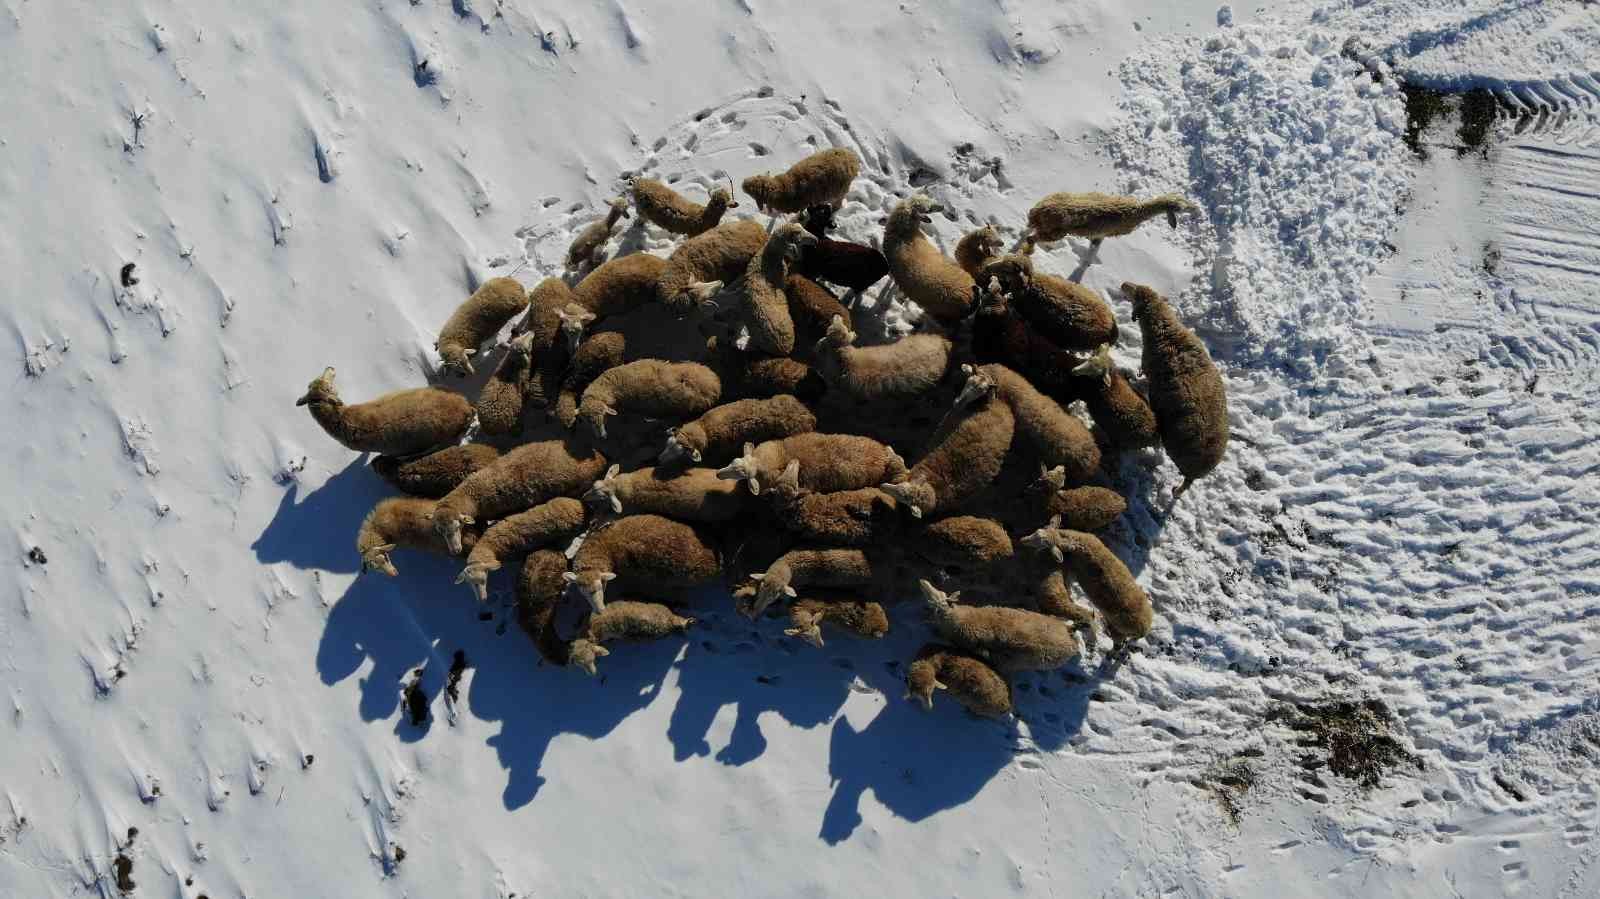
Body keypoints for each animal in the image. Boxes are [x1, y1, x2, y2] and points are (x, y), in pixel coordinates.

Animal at [1126, 279, 1222, 492]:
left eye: (1136, 295)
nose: (1124, 284)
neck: (1166, 330)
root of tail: (1203, 465)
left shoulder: (1147, 364)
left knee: (1184, 485)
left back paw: (1176, 491)